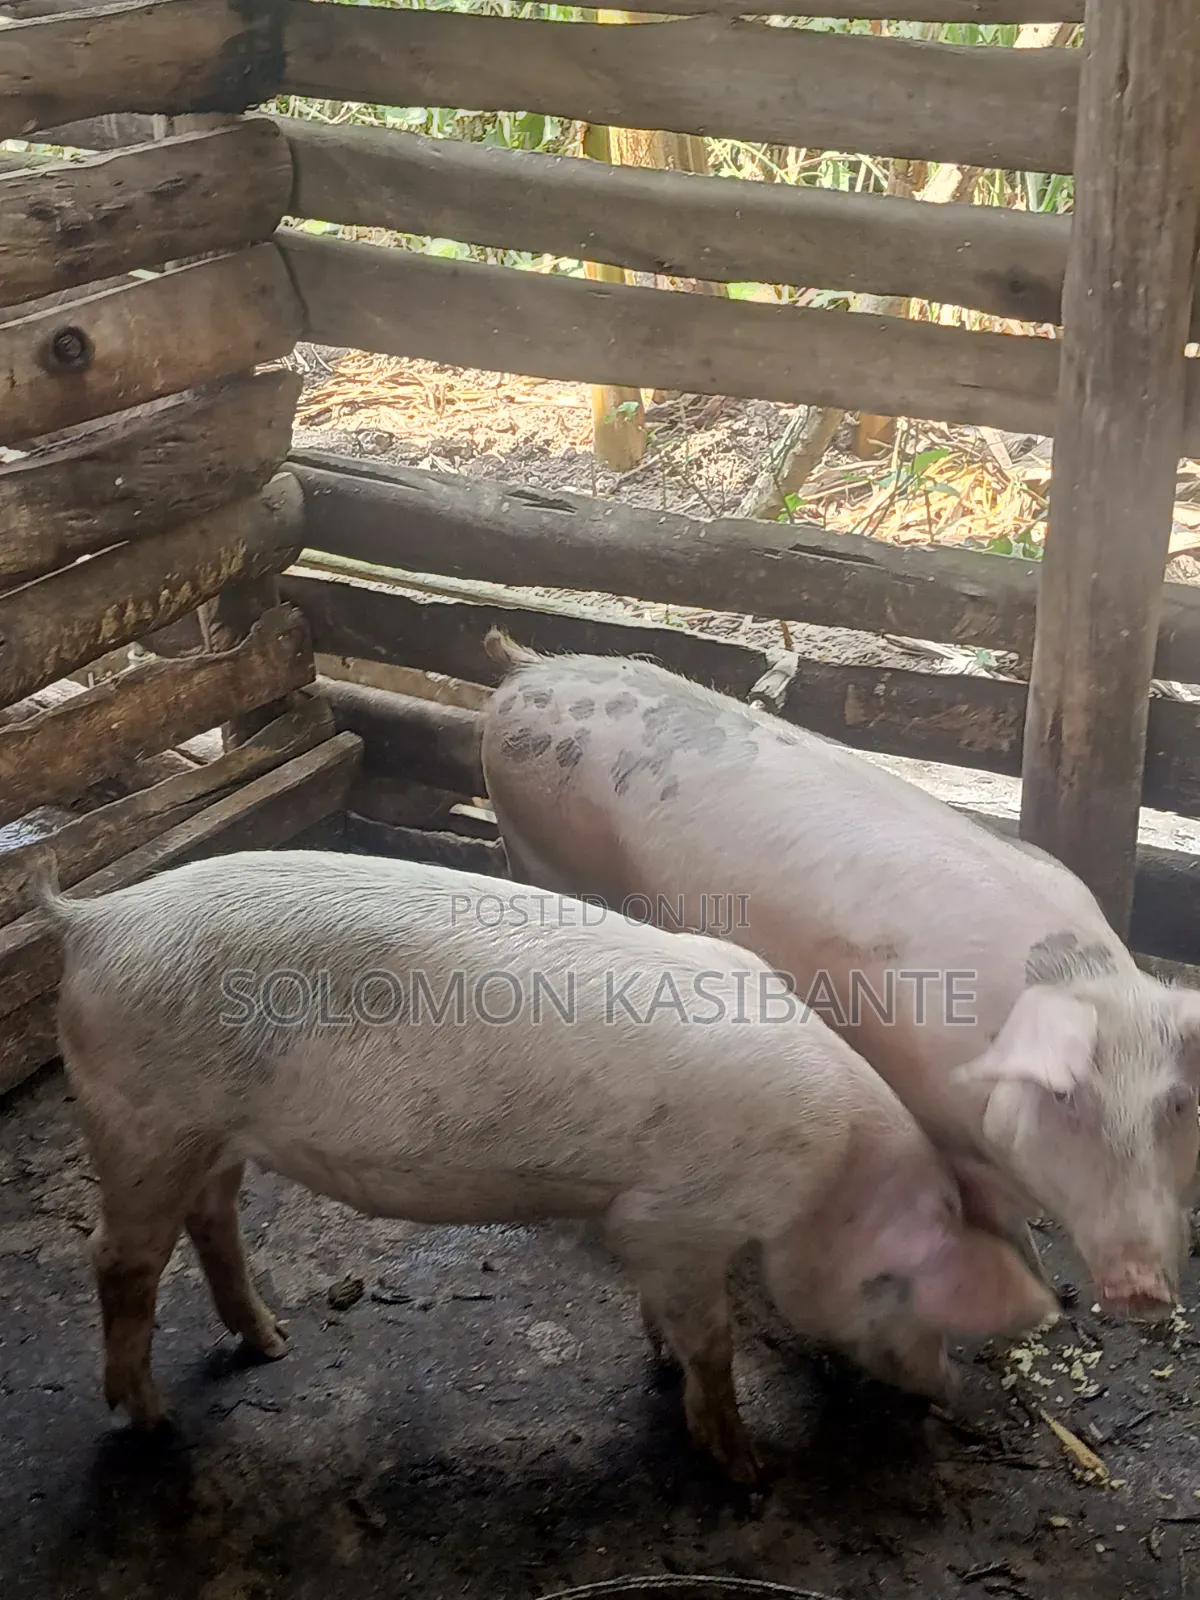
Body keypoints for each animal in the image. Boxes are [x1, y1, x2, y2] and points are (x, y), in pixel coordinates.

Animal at [36, 850, 1055, 1483]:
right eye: (904, 1292)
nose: (948, 1391)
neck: (826, 1173)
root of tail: (94, 918)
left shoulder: (652, 1223)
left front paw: (656, 1359)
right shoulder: (676, 1215)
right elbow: (714, 1341)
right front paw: (746, 1469)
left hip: (209, 1134)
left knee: (211, 1220)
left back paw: (274, 1344)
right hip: (145, 1124)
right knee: (117, 1261)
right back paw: (155, 1424)